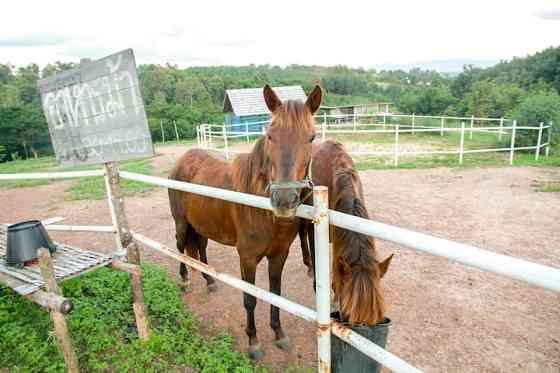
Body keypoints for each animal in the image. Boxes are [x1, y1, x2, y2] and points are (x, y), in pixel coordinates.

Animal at [168, 84, 322, 358]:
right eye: (270, 136)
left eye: (311, 137)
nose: (284, 200)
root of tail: (183, 160)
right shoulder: (247, 258)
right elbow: (250, 299)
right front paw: (253, 342)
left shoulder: (279, 255)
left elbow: (275, 293)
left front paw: (279, 334)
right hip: (181, 223)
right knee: (180, 248)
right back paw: (185, 280)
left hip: (202, 227)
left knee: (201, 249)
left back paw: (210, 281)